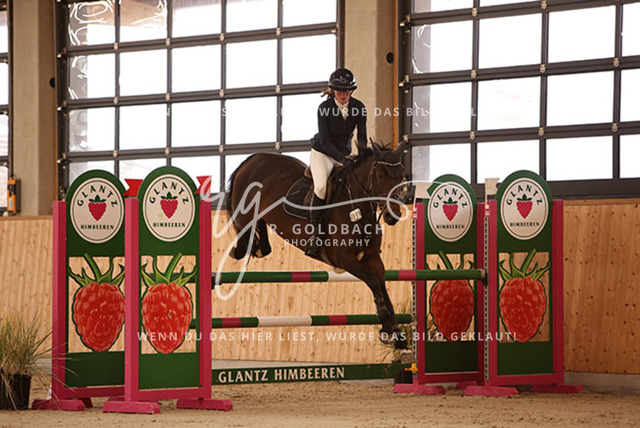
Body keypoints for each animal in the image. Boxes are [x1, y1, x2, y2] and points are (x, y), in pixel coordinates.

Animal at [225, 142, 409, 349]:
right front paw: (388, 328)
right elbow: (374, 282)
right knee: (243, 237)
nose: (392, 216)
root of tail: (253, 158)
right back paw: (242, 249)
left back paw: (258, 247)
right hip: (244, 216)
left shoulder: (373, 259)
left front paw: (395, 334)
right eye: (379, 176)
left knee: (262, 235)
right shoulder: (345, 259)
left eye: (401, 177)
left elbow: (381, 287)